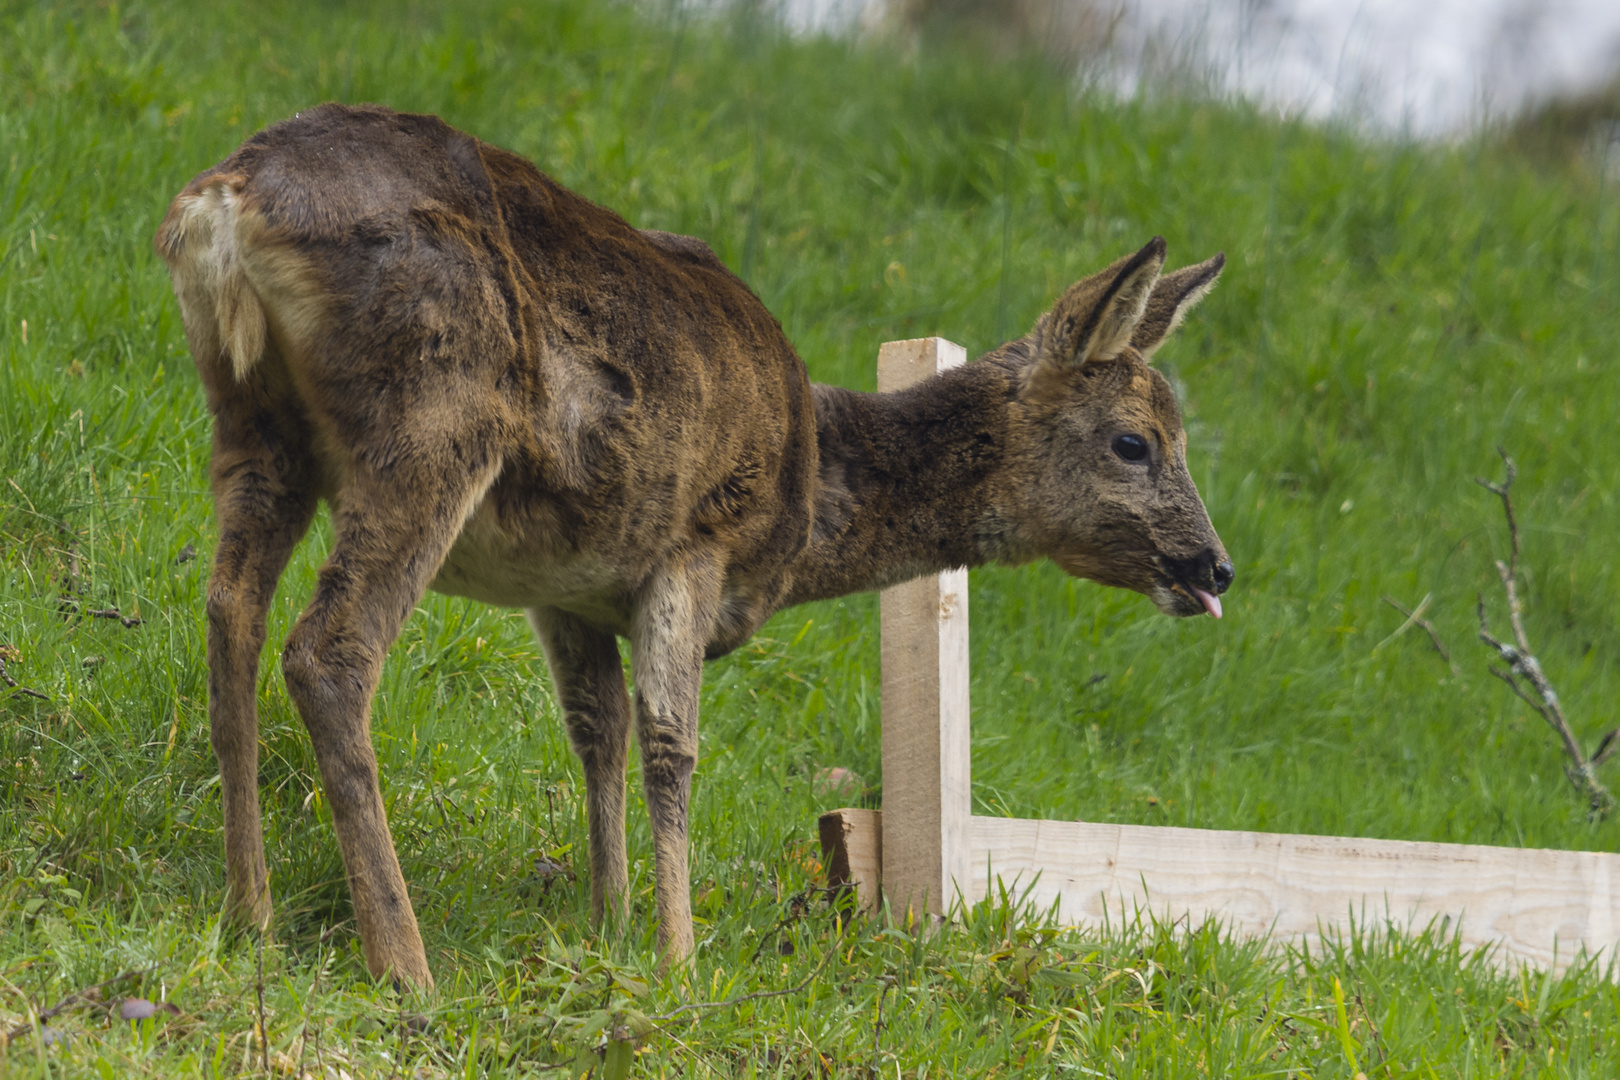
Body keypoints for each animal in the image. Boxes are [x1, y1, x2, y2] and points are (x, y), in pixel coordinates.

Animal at [157, 101, 1231, 990]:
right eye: (1135, 442)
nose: (1214, 567)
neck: (808, 500)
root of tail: (224, 200)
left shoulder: (569, 585)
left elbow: (597, 730)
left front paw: (609, 926)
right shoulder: (697, 541)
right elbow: (671, 741)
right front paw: (678, 958)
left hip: (254, 422)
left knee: (230, 608)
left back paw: (249, 913)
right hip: (432, 414)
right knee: (330, 650)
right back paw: (404, 962)